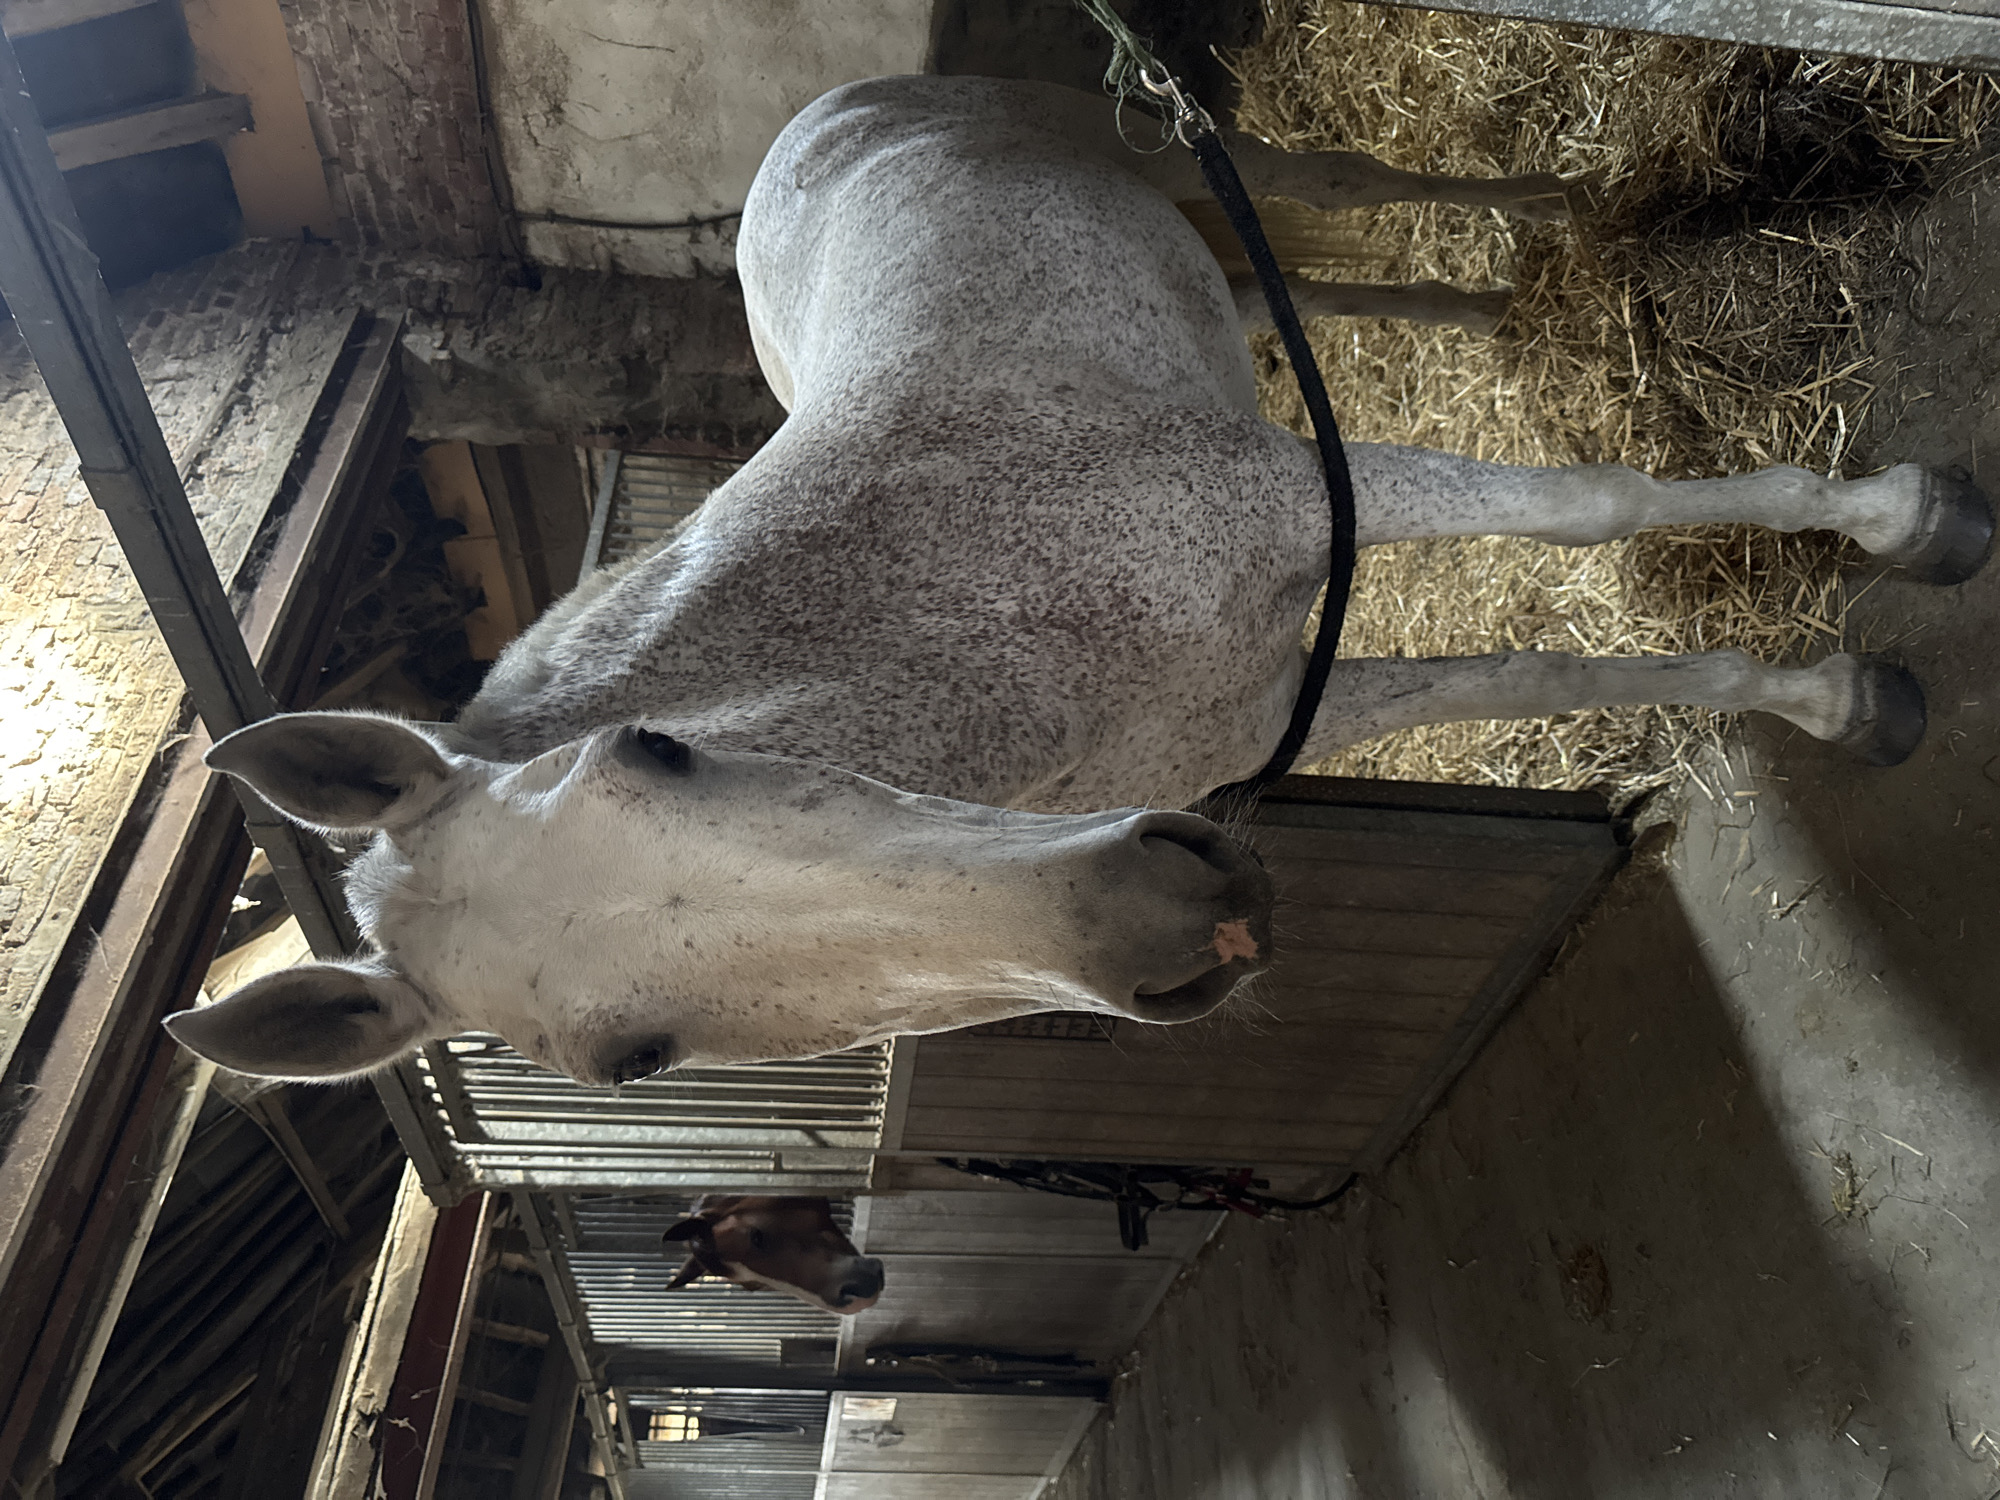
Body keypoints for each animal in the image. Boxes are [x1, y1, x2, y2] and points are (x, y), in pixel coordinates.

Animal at [168, 76, 1990, 1088]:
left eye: (651, 755)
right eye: (633, 1057)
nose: (1182, 916)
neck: (924, 606)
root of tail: (810, 123)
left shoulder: (1289, 490)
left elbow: (1594, 503)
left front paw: (1904, 525)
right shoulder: (1286, 690)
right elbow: (1549, 678)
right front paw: (1841, 696)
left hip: (1190, 146)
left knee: (1368, 189)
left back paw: (1591, 206)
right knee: (1353, 284)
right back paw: (1512, 298)